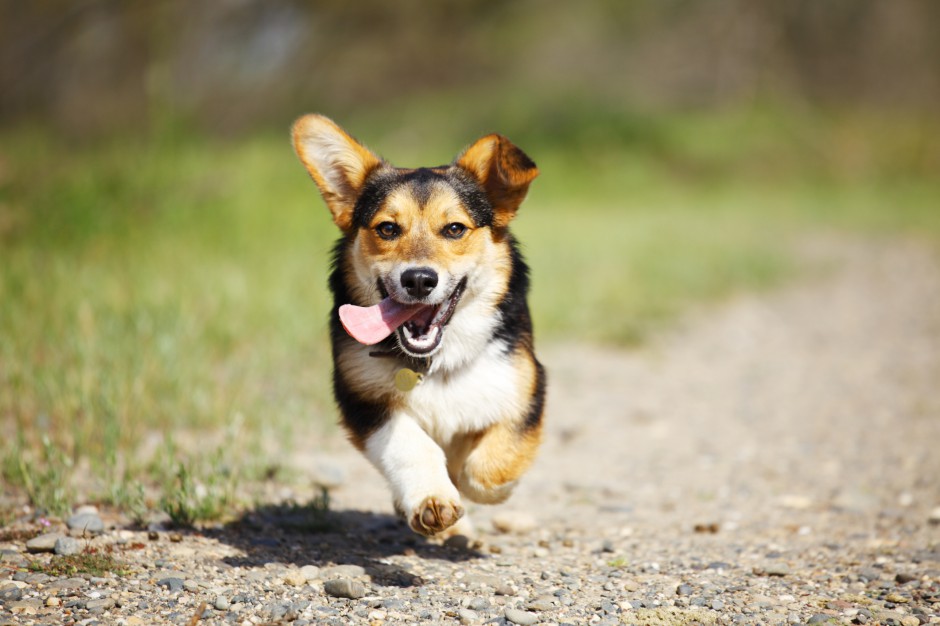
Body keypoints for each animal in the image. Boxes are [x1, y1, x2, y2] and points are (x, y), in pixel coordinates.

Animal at [290, 114, 548, 532]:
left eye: (455, 229)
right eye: (387, 228)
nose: (418, 280)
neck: (434, 362)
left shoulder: (523, 387)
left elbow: (485, 469)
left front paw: (476, 482)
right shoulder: (364, 398)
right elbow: (411, 445)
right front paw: (432, 498)